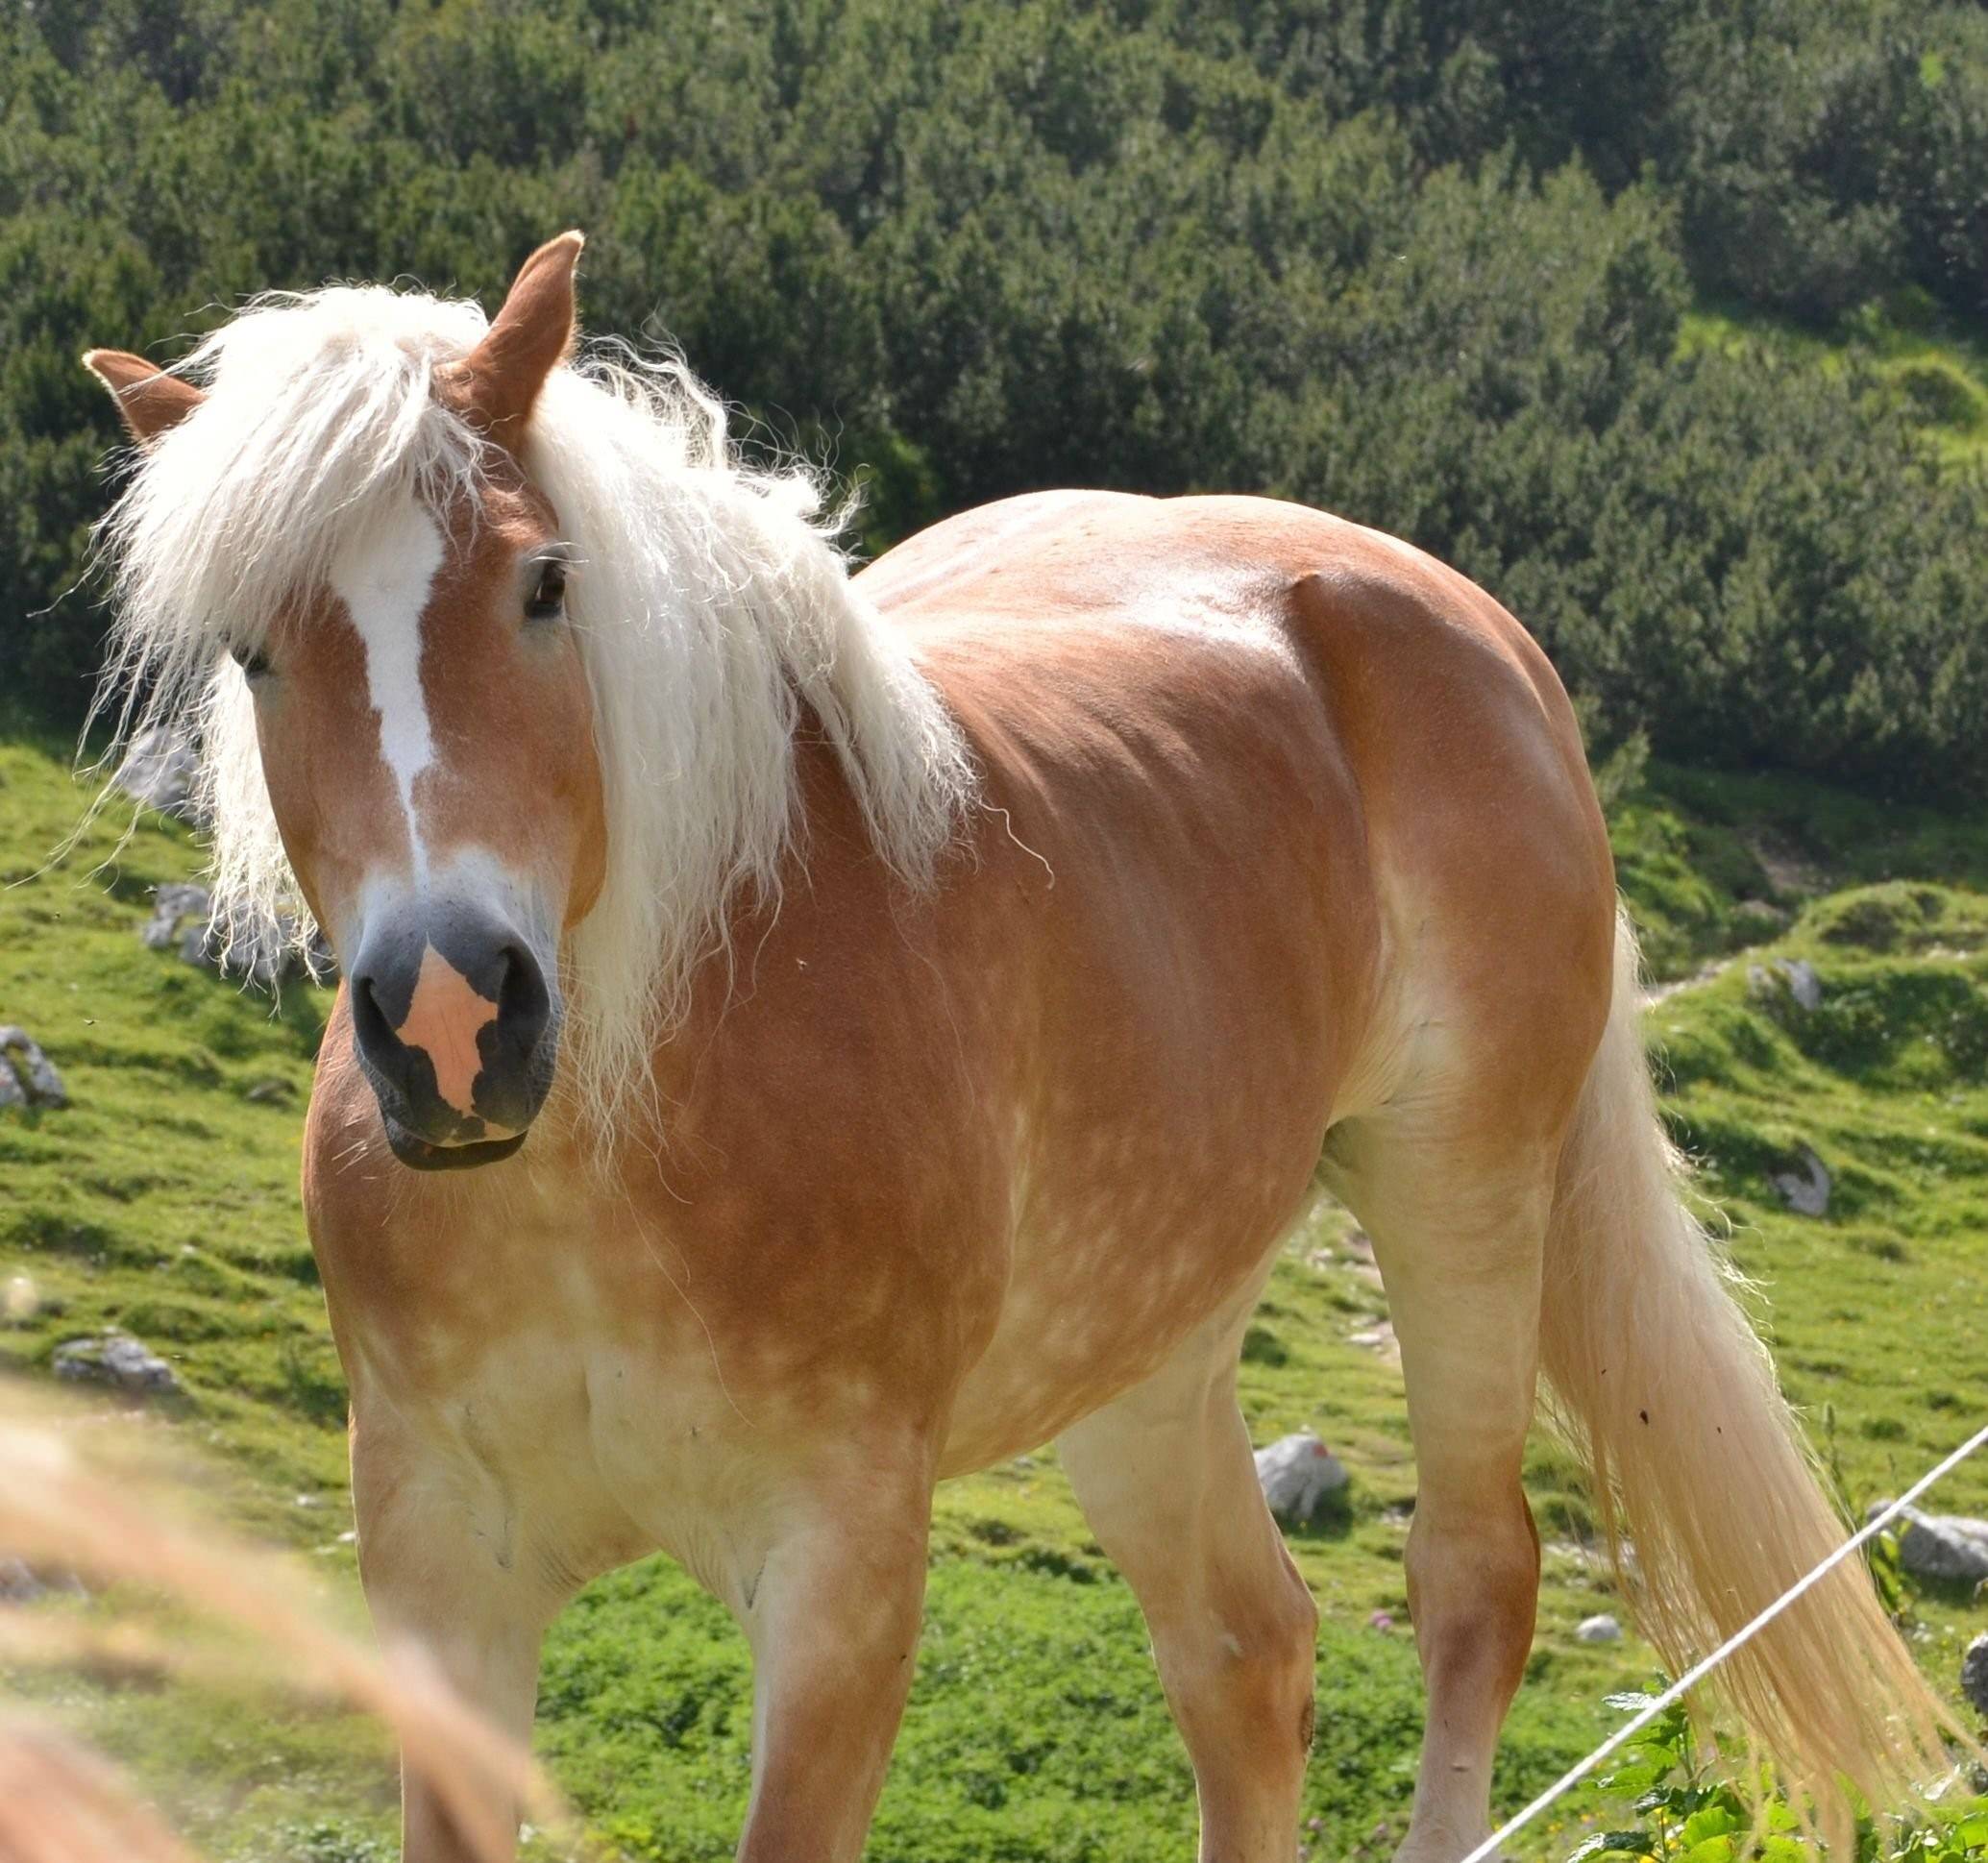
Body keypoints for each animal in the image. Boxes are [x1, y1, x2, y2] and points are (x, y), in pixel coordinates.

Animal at [85, 236, 1948, 1860]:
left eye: (544, 584)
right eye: (253, 649)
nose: (454, 1019)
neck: (611, 1155)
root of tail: (1456, 623)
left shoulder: (838, 1570)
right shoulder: (438, 1568)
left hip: (1461, 1193)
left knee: (1473, 1580)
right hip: (1146, 1350)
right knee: (1247, 1655)